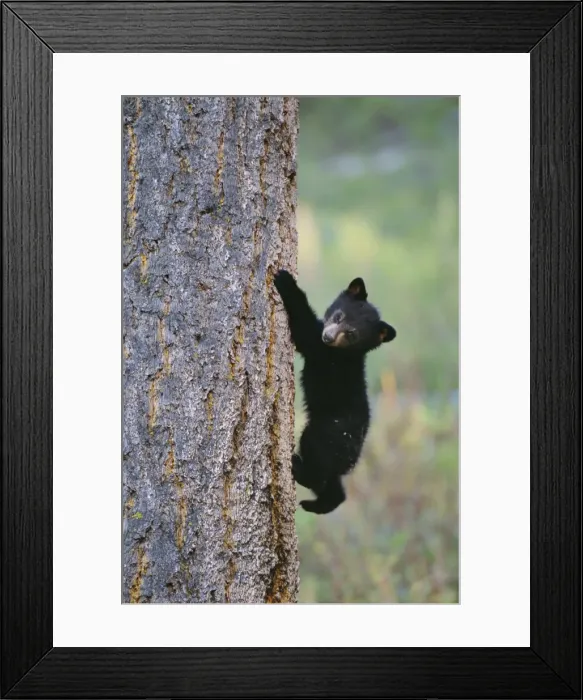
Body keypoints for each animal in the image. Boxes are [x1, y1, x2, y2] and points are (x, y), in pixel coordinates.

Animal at [274, 269, 396, 514]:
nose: (328, 336)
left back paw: (298, 467)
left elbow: (305, 330)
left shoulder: (324, 353)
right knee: (332, 484)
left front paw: (285, 280)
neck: (346, 353)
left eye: (351, 334)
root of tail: (353, 456)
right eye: (338, 316)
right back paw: (320, 503)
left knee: (316, 468)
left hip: (326, 434)